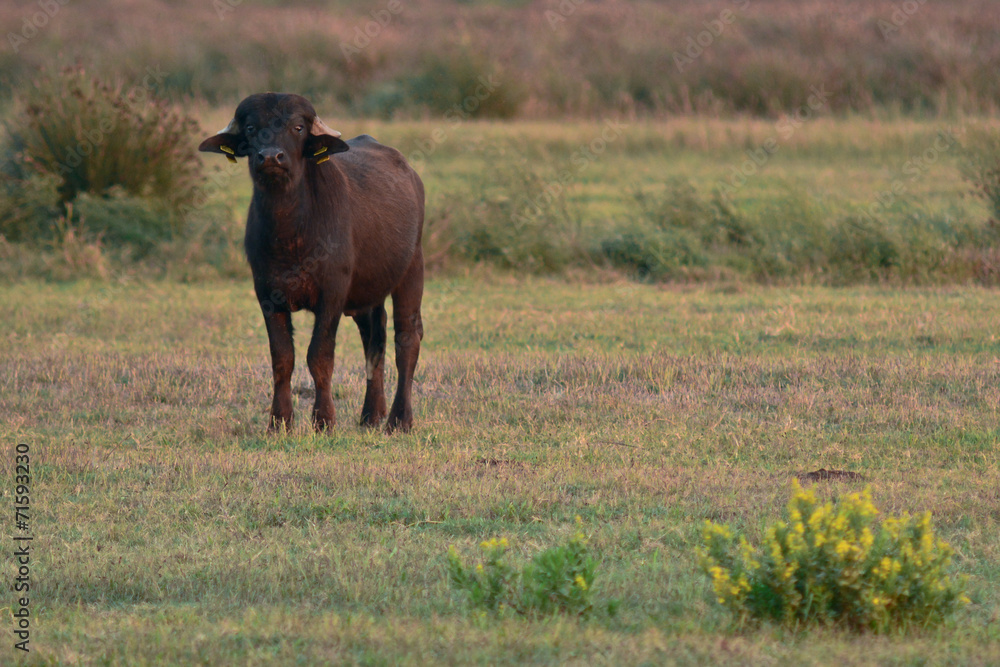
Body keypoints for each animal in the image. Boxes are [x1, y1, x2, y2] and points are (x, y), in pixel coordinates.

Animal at [201, 96, 424, 436]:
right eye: (251, 128)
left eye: (298, 127)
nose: (271, 157)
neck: (291, 233)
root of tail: (412, 176)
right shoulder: (267, 295)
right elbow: (283, 358)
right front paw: (279, 421)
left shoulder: (332, 295)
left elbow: (319, 356)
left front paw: (324, 420)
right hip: (366, 296)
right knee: (375, 340)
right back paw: (371, 415)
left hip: (412, 270)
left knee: (406, 338)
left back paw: (400, 419)